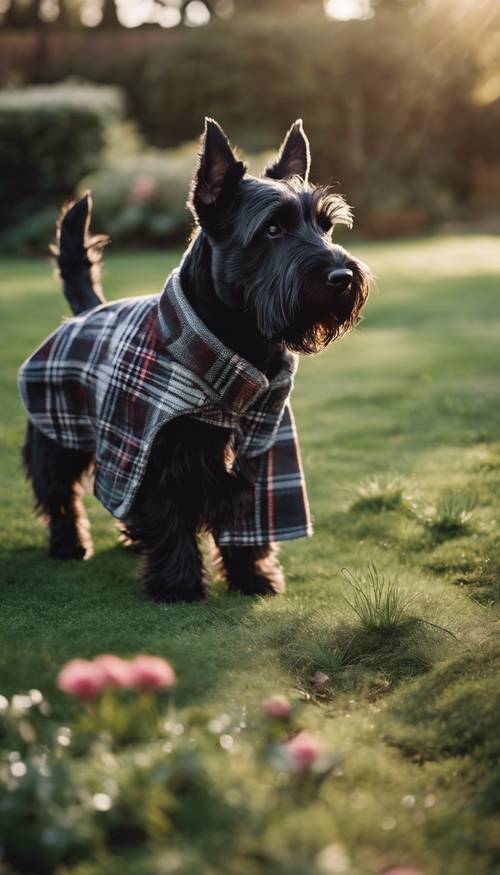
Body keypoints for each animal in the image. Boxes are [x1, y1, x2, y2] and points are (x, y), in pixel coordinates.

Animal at [18, 120, 372, 604]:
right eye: (272, 229)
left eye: (326, 225)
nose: (343, 277)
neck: (239, 346)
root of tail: (86, 311)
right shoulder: (156, 454)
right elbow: (170, 520)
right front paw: (178, 585)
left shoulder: (260, 452)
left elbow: (249, 528)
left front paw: (253, 579)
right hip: (57, 430)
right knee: (58, 492)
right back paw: (69, 544)